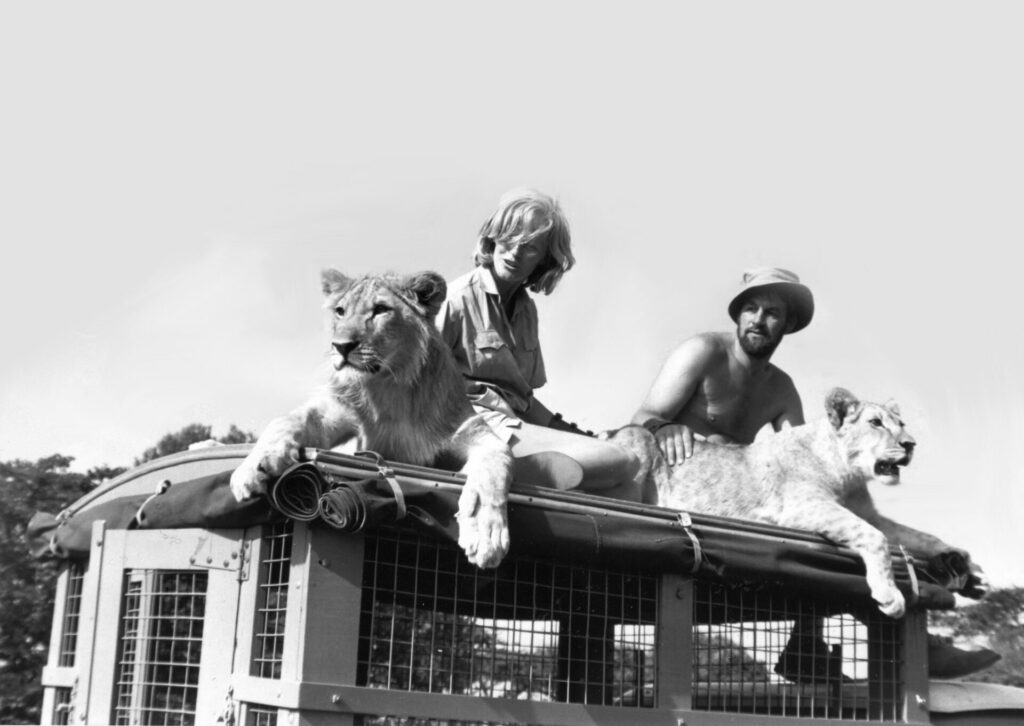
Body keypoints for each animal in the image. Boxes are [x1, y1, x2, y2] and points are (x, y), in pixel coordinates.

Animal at [606, 387, 983, 614]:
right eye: (876, 423)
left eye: (901, 423)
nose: (910, 444)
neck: (849, 474)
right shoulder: (802, 507)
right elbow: (875, 537)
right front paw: (890, 594)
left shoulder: (868, 512)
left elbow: (917, 535)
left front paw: (963, 561)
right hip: (637, 446)